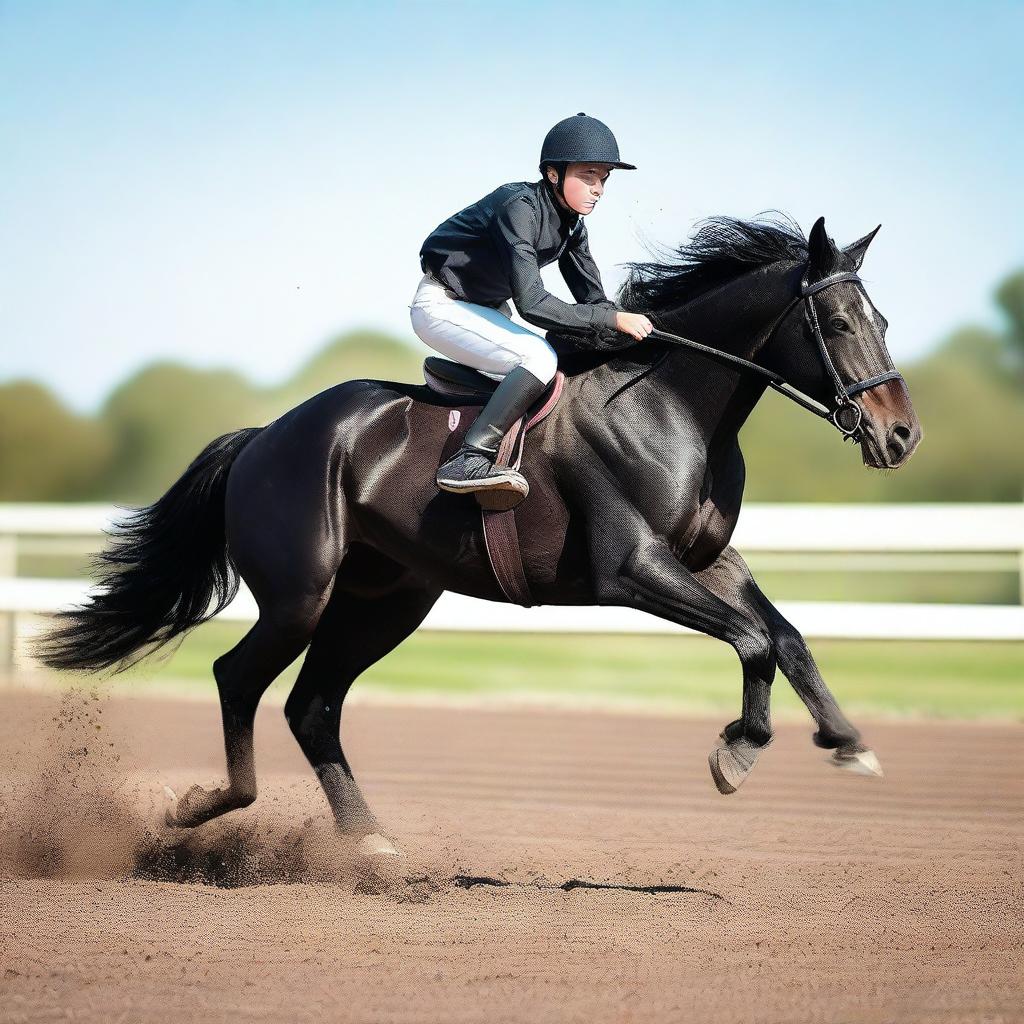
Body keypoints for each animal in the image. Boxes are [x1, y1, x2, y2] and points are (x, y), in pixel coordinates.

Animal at [36, 214, 925, 847]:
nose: (901, 436)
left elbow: (788, 636)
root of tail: (263, 436)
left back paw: (368, 842)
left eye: (880, 317)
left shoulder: (707, 560)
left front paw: (848, 741)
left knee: (312, 706)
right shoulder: (632, 568)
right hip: (299, 594)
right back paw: (202, 805)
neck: (669, 403)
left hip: (387, 601)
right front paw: (738, 749)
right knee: (236, 677)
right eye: (838, 325)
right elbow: (752, 639)